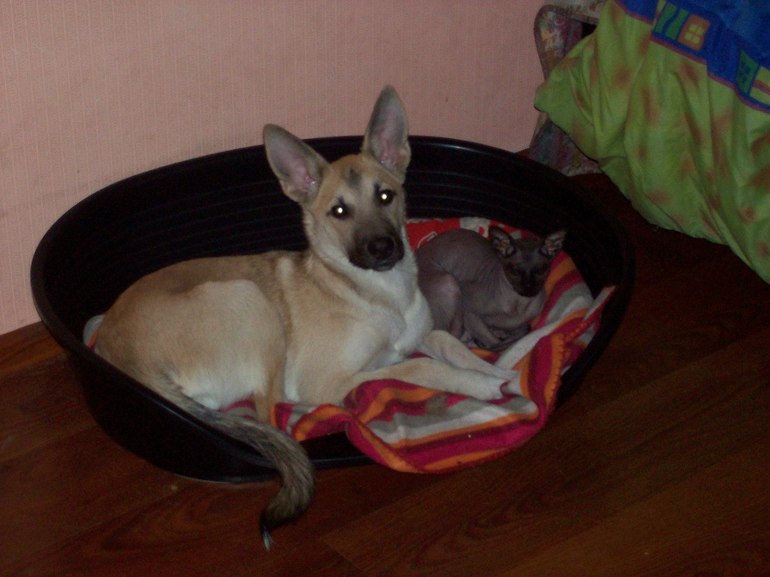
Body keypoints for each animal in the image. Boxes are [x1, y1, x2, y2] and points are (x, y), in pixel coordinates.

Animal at [94, 86, 517, 548]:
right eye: (339, 211)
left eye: (385, 196)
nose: (383, 249)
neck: (376, 292)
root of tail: (119, 354)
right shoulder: (327, 380)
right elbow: (417, 367)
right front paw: (478, 384)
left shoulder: (421, 334)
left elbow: (449, 344)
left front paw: (496, 370)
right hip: (249, 299)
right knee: (272, 409)